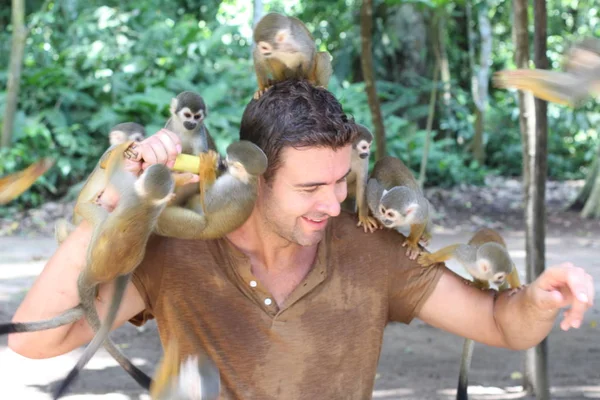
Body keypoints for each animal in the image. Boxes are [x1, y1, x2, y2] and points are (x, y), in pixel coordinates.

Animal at [418, 228, 520, 400]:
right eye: (499, 276)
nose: (501, 281)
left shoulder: (506, 266)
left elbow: (512, 267)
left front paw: (517, 288)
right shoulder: (469, 258)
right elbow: (455, 248)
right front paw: (431, 258)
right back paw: (480, 284)